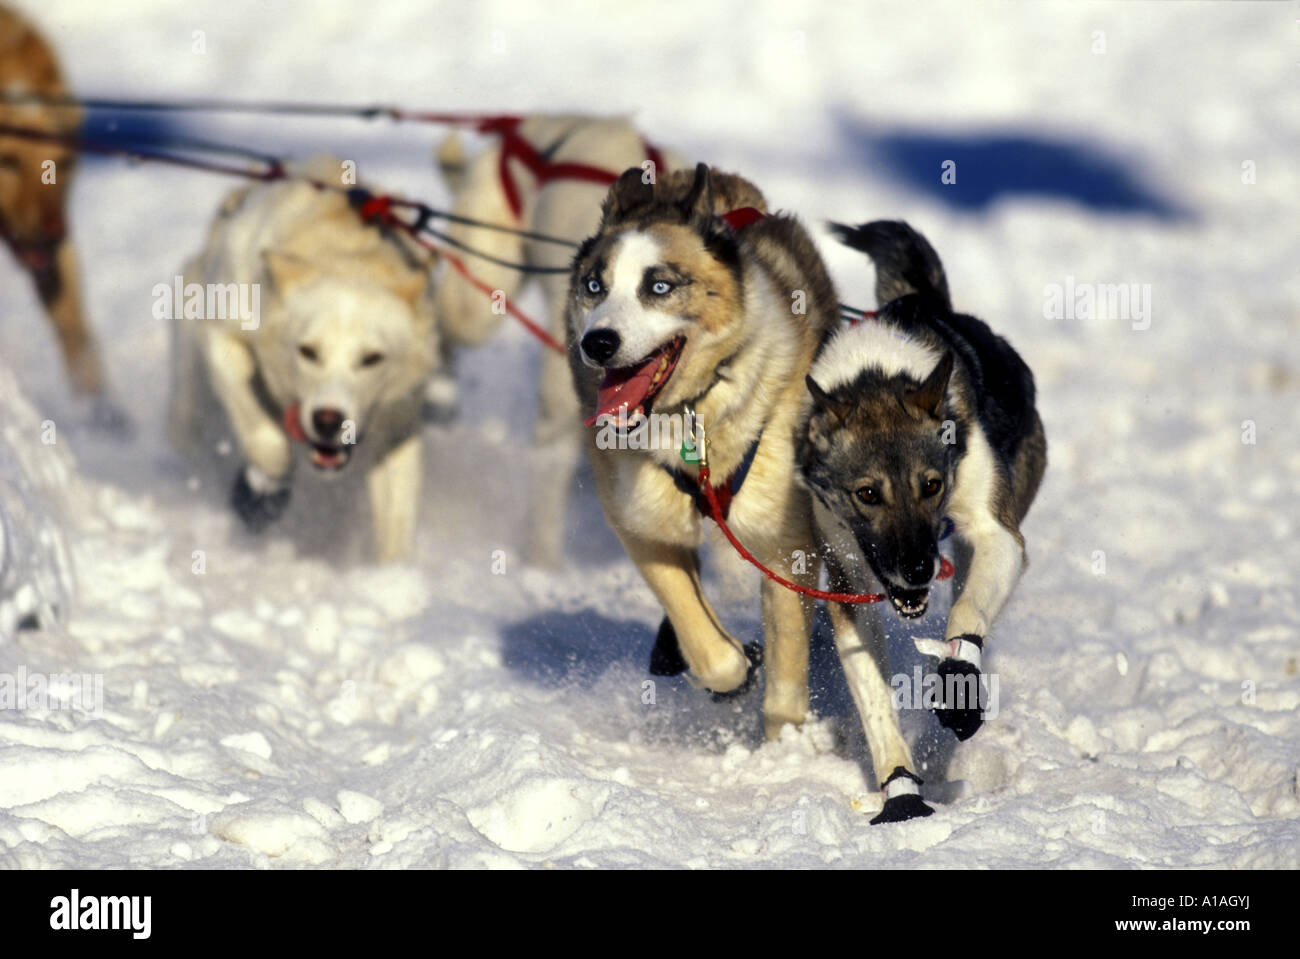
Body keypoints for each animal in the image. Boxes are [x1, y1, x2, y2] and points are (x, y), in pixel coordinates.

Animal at [0, 6, 122, 426]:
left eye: (64, 164)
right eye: (7, 160)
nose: (54, 228)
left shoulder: (54, 256)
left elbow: (74, 326)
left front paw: (101, 411)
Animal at [169, 157, 436, 561]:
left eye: (372, 358)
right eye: (308, 351)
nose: (328, 420)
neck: (342, 249)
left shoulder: (397, 421)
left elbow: (396, 522)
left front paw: (393, 574)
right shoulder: (220, 334)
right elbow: (261, 432)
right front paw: (266, 482)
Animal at [795, 220, 1050, 816]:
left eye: (931, 485)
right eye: (867, 494)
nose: (916, 569)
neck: (876, 374)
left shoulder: (996, 532)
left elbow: (969, 613)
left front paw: (958, 681)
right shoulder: (849, 580)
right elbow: (874, 702)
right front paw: (901, 792)